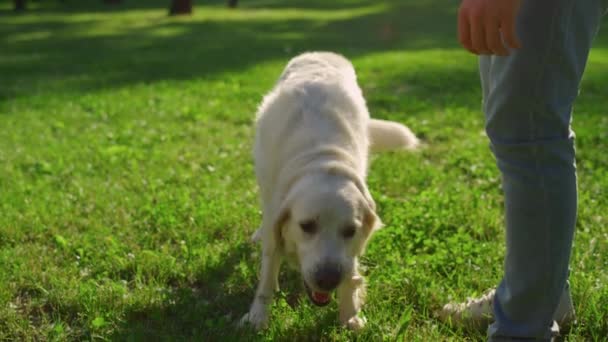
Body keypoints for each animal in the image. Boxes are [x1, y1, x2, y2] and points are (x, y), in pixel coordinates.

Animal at [240, 52, 420, 330]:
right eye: (307, 226)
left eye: (350, 231)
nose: (328, 279)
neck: (322, 159)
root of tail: (321, 52)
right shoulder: (275, 211)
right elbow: (268, 271)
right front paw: (258, 316)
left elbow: (351, 270)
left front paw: (350, 314)